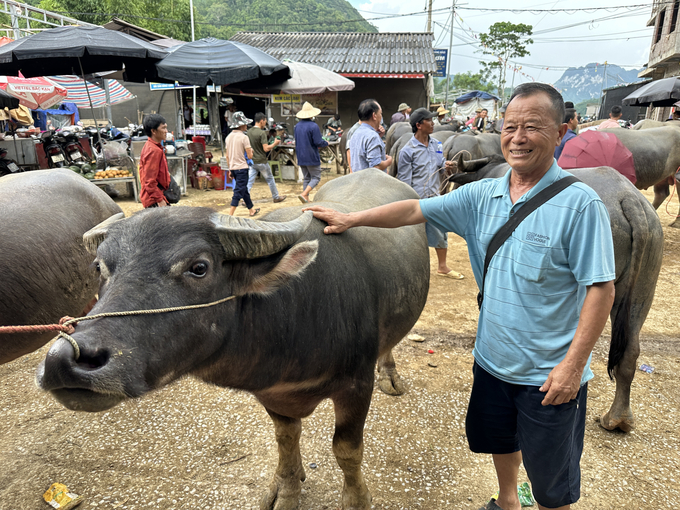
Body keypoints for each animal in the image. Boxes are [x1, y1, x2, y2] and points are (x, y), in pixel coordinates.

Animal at [35, 170, 430, 510]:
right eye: (99, 268)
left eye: (198, 267)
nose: (65, 361)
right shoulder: (272, 393)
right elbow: (286, 440)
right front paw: (287, 487)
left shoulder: (356, 385)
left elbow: (346, 450)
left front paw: (356, 499)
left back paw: (390, 375)